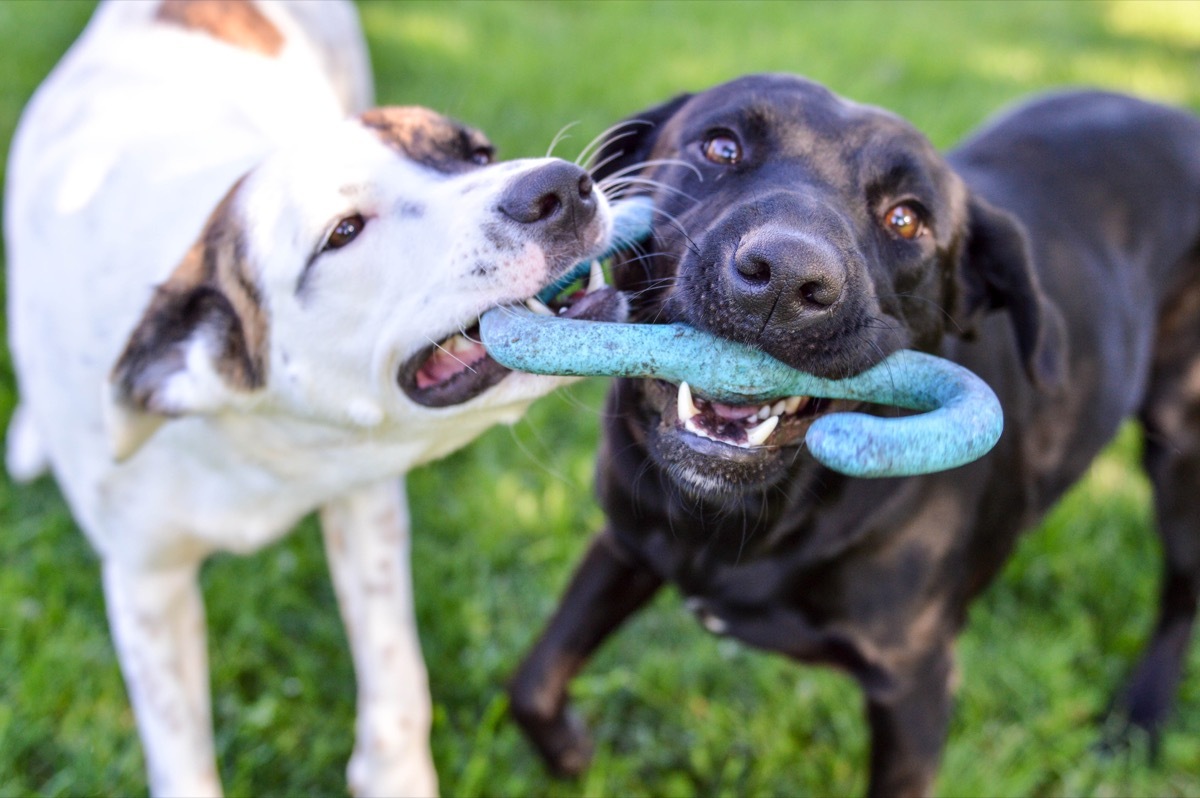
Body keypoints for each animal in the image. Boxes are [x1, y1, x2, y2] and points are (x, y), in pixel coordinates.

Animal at [9, 3, 624, 792]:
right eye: (344, 232)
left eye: (478, 153)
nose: (561, 186)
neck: (244, 432)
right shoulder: (145, 582)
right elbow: (178, 744)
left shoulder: (365, 498)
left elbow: (396, 678)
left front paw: (395, 776)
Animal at [506, 71, 1200, 792]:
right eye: (721, 146)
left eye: (906, 218)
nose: (785, 279)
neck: (742, 528)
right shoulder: (626, 543)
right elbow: (532, 682)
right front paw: (573, 756)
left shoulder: (914, 684)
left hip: (1181, 454)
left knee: (1182, 593)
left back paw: (1140, 717)